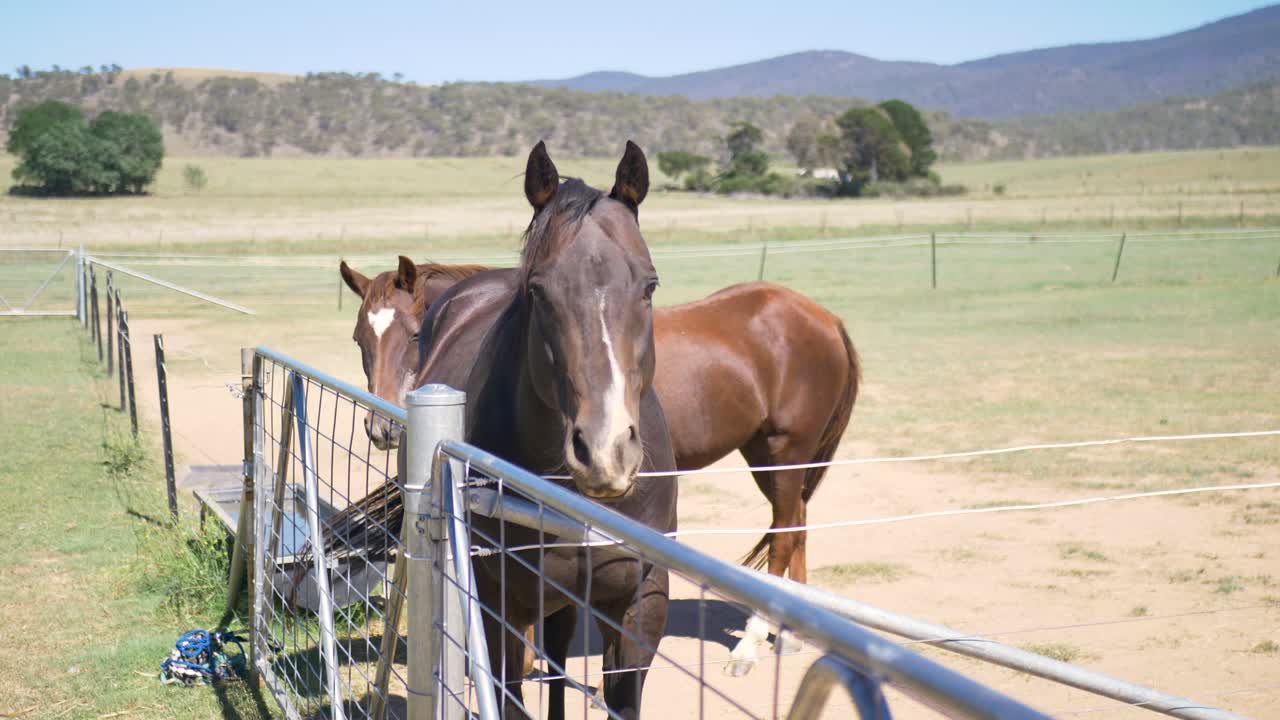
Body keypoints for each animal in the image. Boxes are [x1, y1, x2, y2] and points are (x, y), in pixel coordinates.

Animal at [411, 141, 676, 720]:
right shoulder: (502, 605)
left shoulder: (640, 603)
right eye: (539, 291)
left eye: (649, 285)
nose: (605, 452)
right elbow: (509, 695)